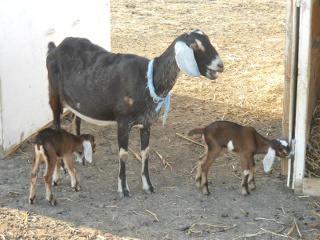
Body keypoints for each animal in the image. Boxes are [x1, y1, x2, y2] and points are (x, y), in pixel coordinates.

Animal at [47, 29, 222, 198]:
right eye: (194, 46)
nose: (220, 65)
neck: (148, 79)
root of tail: (55, 47)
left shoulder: (146, 123)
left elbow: (145, 153)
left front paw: (148, 186)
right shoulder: (123, 123)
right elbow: (123, 155)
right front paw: (123, 189)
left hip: (77, 101)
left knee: (75, 121)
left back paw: (80, 157)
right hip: (54, 94)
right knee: (56, 128)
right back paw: (59, 173)